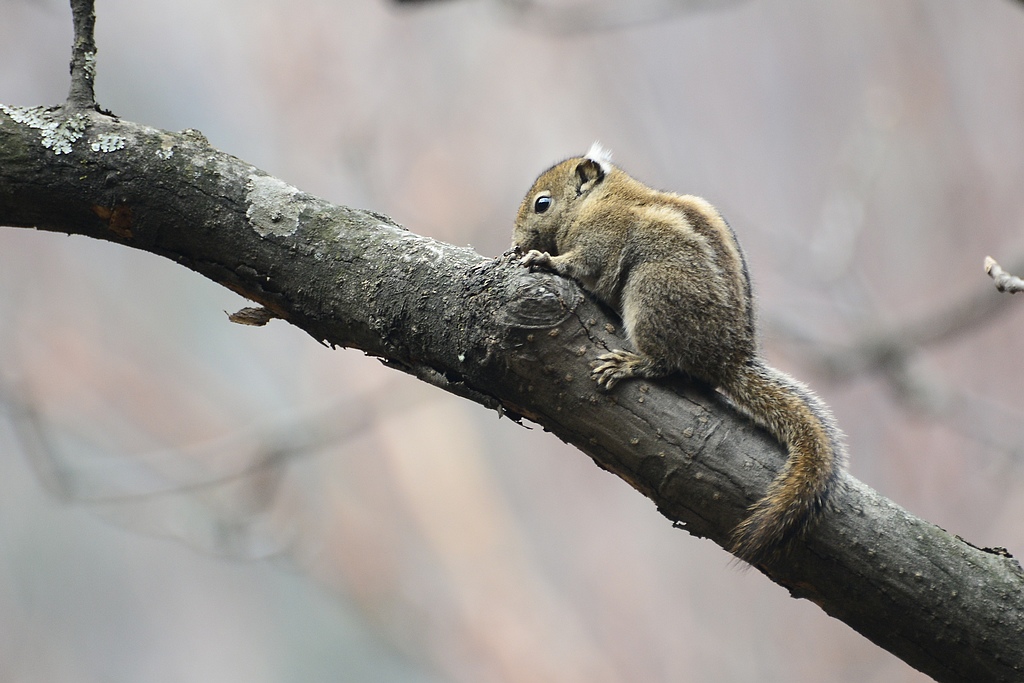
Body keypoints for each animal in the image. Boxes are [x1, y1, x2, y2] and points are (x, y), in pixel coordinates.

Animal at [516, 143, 843, 565]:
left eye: (542, 204)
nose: (517, 243)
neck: (597, 201)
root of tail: (728, 359)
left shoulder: (600, 240)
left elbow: (581, 264)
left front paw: (544, 260)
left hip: (652, 293)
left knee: (665, 363)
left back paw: (630, 364)